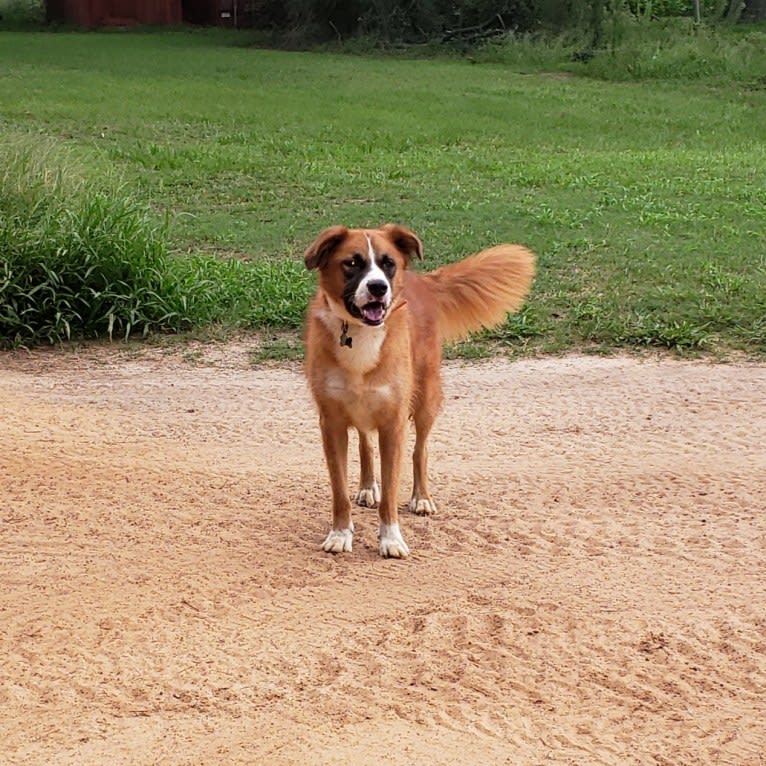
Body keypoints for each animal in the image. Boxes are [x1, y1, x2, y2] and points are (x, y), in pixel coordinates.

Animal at [304, 225, 536, 560]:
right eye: (352, 263)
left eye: (388, 263)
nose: (378, 287)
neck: (360, 334)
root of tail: (423, 279)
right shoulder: (331, 424)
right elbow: (340, 490)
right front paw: (340, 534)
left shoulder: (393, 423)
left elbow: (391, 492)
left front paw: (390, 540)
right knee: (364, 444)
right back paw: (367, 486)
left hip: (426, 399)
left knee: (420, 450)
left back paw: (421, 497)